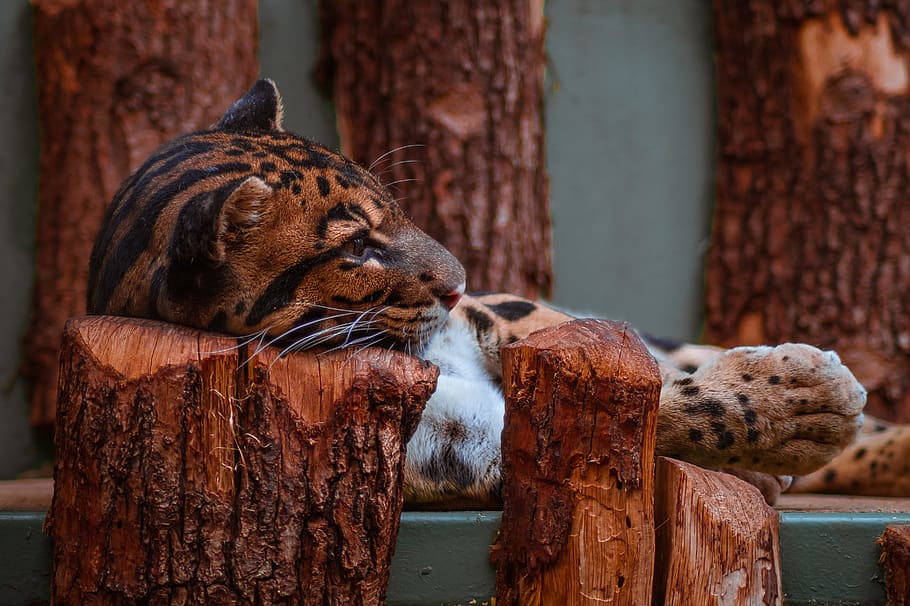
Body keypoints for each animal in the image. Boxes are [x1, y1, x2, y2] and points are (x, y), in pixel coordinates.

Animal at [88, 78, 890, 506]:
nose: (459, 279)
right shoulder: (456, 452)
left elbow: (641, 374)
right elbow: (621, 417)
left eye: (394, 208)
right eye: (357, 249)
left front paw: (797, 404)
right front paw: (803, 409)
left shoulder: (505, 315)